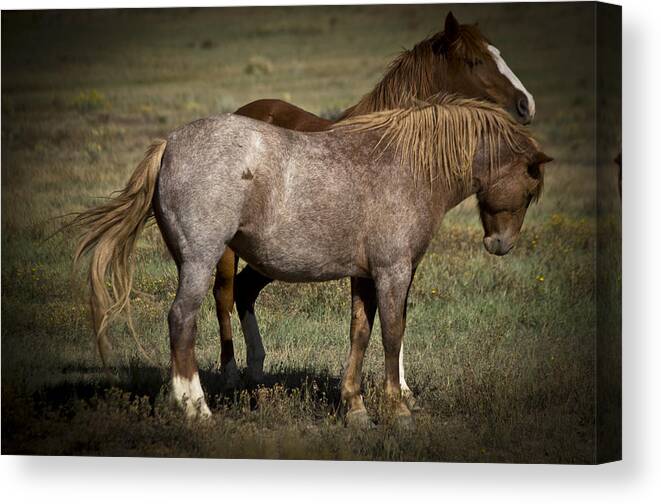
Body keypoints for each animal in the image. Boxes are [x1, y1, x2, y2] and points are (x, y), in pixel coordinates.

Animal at [72, 95, 548, 426]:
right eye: (530, 189)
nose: (500, 244)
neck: (406, 166)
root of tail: (169, 144)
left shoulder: (365, 276)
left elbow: (360, 334)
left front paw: (355, 409)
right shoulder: (393, 271)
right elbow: (392, 336)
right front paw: (398, 411)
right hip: (200, 263)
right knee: (182, 322)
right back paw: (197, 410)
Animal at [211, 11, 536, 406]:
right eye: (475, 61)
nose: (526, 104)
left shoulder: (403, 258)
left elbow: (398, 316)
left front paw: (402, 389)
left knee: (245, 290)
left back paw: (257, 370)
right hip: (230, 248)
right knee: (224, 293)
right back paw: (230, 375)